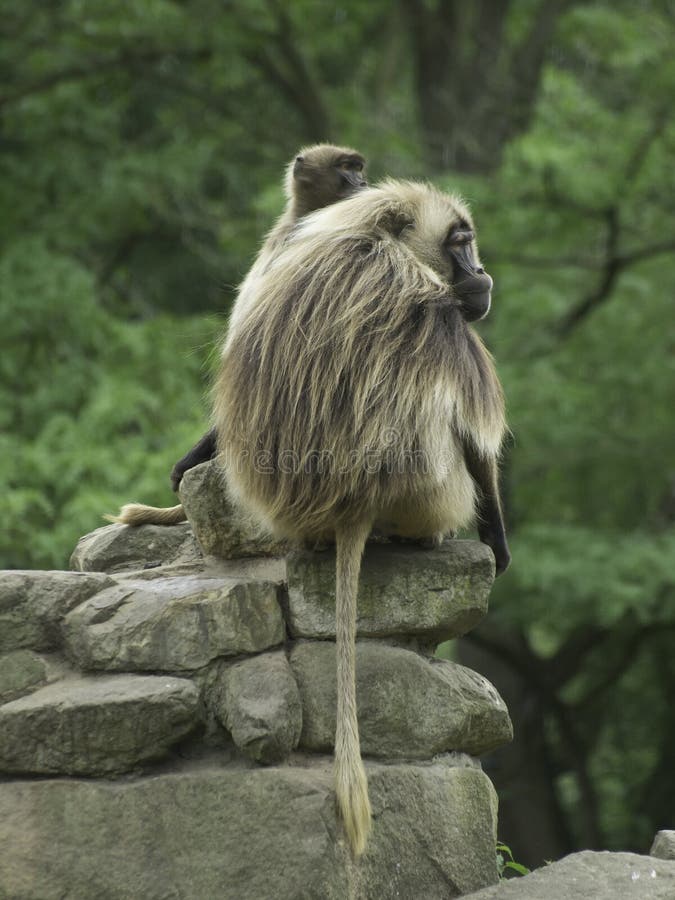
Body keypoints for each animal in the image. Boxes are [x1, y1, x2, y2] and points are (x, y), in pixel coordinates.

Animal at [214, 179, 510, 855]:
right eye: (460, 243)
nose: (481, 274)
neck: (377, 240)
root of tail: (351, 508)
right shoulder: (436, 308)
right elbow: (477, 440)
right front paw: (498, 536)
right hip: (427, 492)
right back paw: (430, 538)